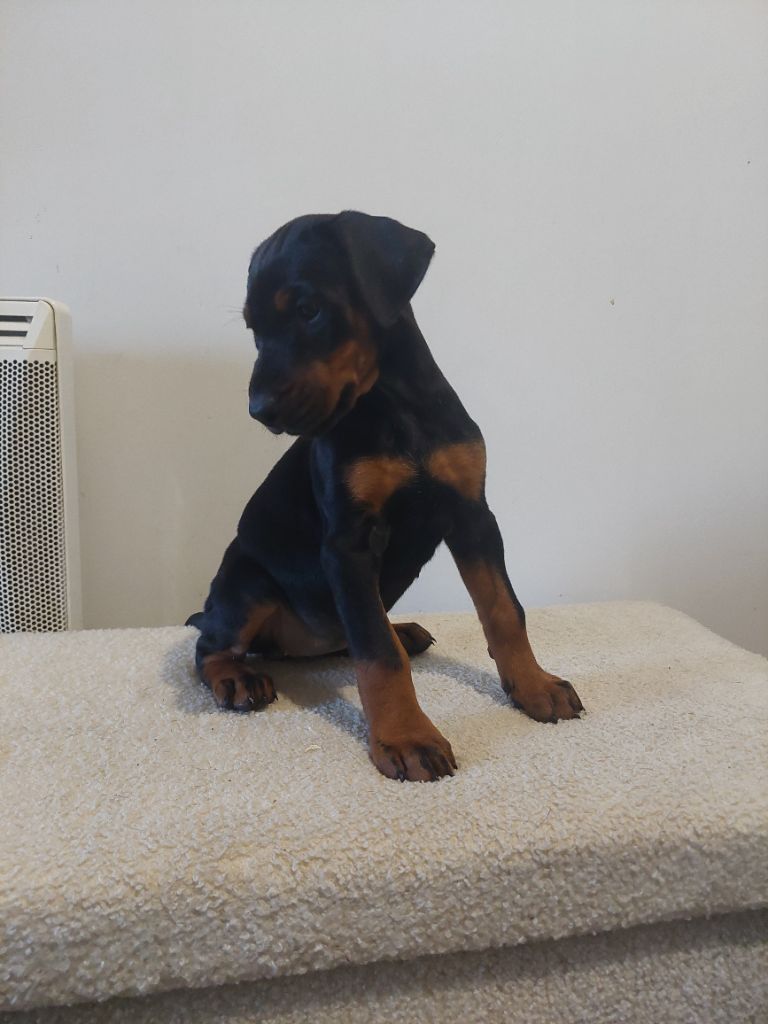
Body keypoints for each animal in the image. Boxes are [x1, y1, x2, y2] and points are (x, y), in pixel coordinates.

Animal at [187, 211, 583, 781]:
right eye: (253, 329)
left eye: (308, 309)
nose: (259, 410)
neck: (395, 404)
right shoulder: (347, 545)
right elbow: (377, 653)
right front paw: (407, 738)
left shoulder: (473, 515)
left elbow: (504, 609)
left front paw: (535, 687)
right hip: (247, 585)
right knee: (209, 644)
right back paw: (237, 677)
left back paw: (405, 629)